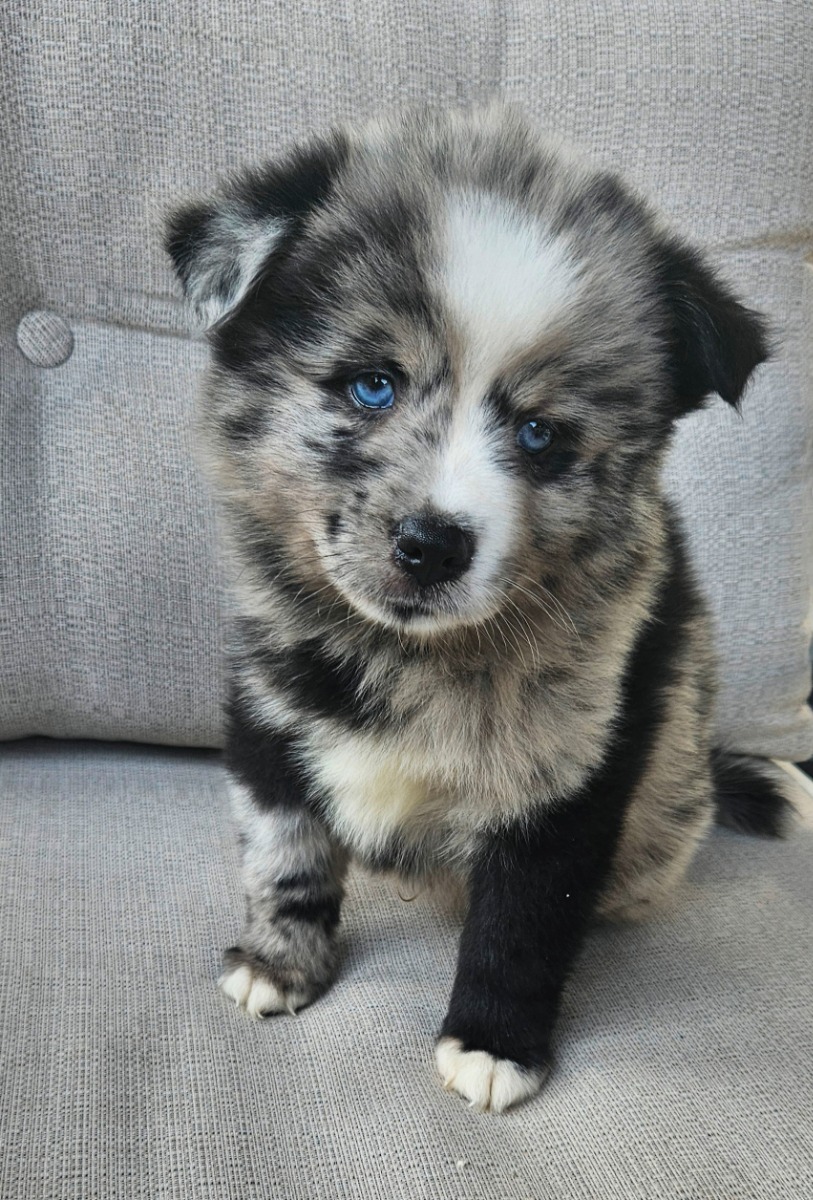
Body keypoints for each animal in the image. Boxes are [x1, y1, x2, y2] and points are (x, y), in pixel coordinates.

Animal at [166, 105, 796, 1113]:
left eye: (540, 435)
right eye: (371, 383)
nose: (431, 544)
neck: (407, 651)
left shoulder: (575, 770)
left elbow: (525, 920)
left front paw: (493, 1043)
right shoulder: (268, 706)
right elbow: (282, 848)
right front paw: (279, 961)